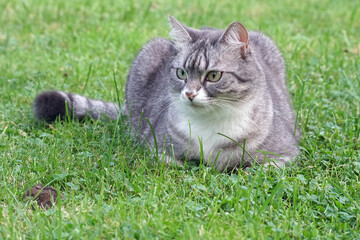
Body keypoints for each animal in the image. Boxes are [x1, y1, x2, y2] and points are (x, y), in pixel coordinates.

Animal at [33, 16, 300, 171]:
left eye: (213, 76)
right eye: (181, 73)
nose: (189, 94)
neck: (210, 122)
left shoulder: (285, 154)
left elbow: (252, 169)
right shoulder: (156, 146)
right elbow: (177, 163)